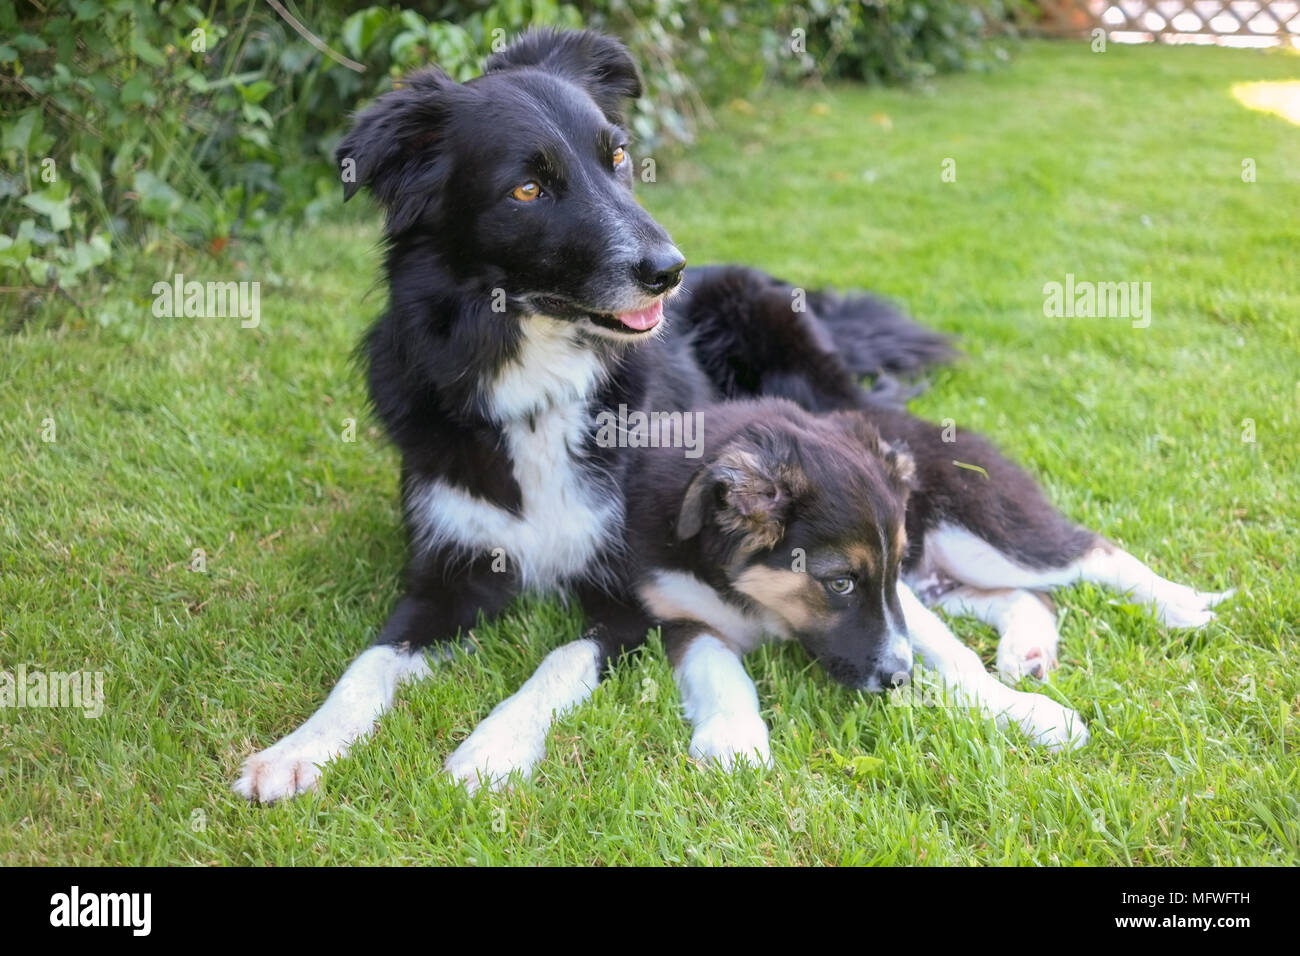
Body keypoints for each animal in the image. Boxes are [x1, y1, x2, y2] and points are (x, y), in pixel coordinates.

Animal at [233, 27, 951, 801]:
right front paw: (300, 746)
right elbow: (368, 662)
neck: (535, 382)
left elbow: (556, 663)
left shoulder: (628, 598)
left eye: (619, 158)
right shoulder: (446, 574)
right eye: (527, 188)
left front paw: (493, 746)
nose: (669, 270)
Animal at [452, 395, 1232, 785]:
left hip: (974, 532)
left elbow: (953, 658)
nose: (897, 680)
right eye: (837, 582)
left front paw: (1023, 715)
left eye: (859, 579)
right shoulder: (675, 613)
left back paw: (1181, 606)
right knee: (1028, 597)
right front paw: (735, 739)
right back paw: (1030, 650)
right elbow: (718, 667)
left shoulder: (901, 589)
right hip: (945, 571)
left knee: (1092, 555)